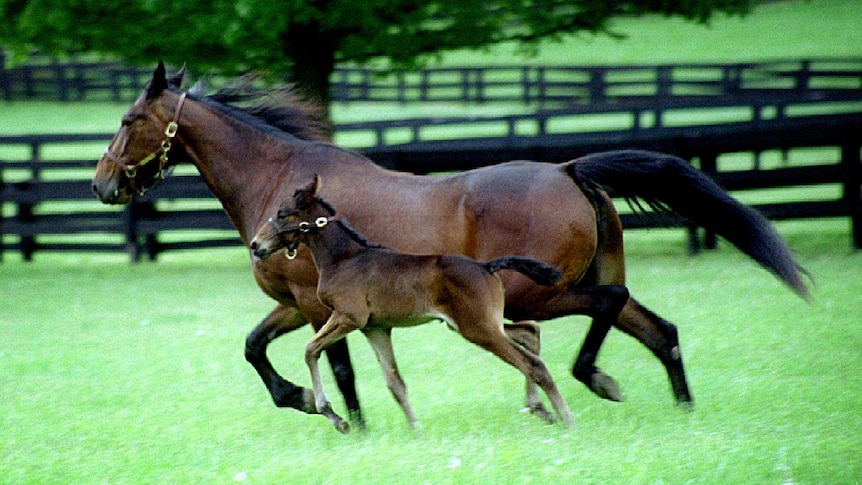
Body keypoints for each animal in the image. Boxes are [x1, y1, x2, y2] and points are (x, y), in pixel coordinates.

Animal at [250, 176, 572, 432]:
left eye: (282, 214)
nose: (255, 245)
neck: (343, 258)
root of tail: (486, 266)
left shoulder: (348, 316)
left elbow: (310, 350)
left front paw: (334, 416)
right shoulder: (375, 328)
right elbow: (395, 382)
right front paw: (416, 429)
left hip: (478, 328)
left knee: (532, 363)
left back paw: (567, 419)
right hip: (473, 324)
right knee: (529, 332)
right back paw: (541, 408)